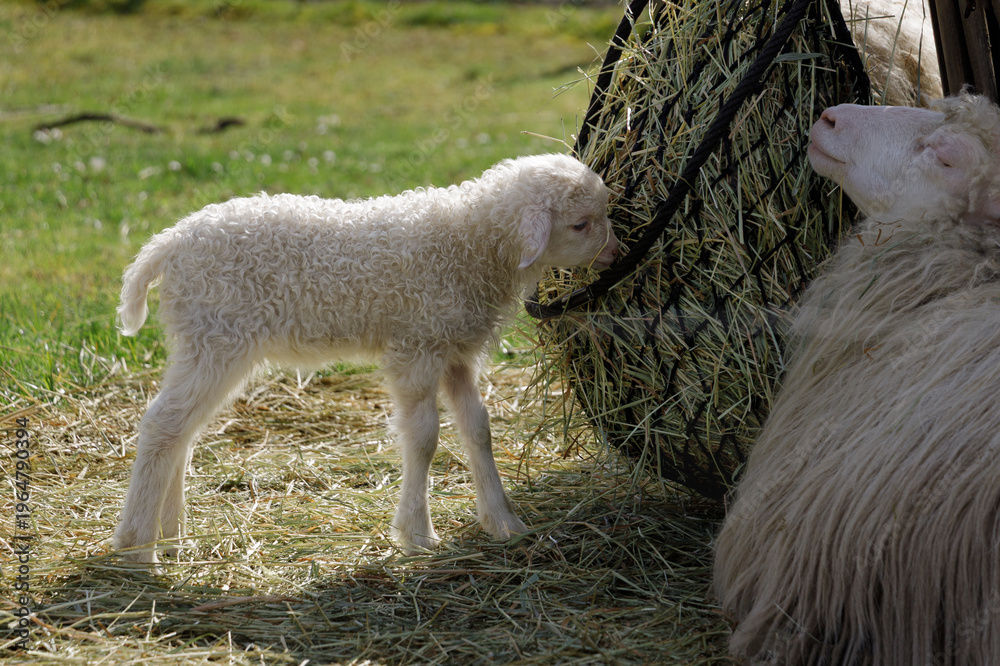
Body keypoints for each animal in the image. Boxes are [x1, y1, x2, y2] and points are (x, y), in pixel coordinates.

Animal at [113, 153, 619, 566]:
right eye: (580, 224)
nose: (616, 255)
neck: (469, 242)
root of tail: (165, 245)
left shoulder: (455, 348)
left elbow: (478, 428)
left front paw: (503, 522)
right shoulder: (416, 346)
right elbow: (424, 438)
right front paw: (417, 534)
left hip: (201, 341)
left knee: (181, 429)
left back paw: (172, 535)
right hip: (217, 339)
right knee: (162, 424)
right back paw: (137, 547)